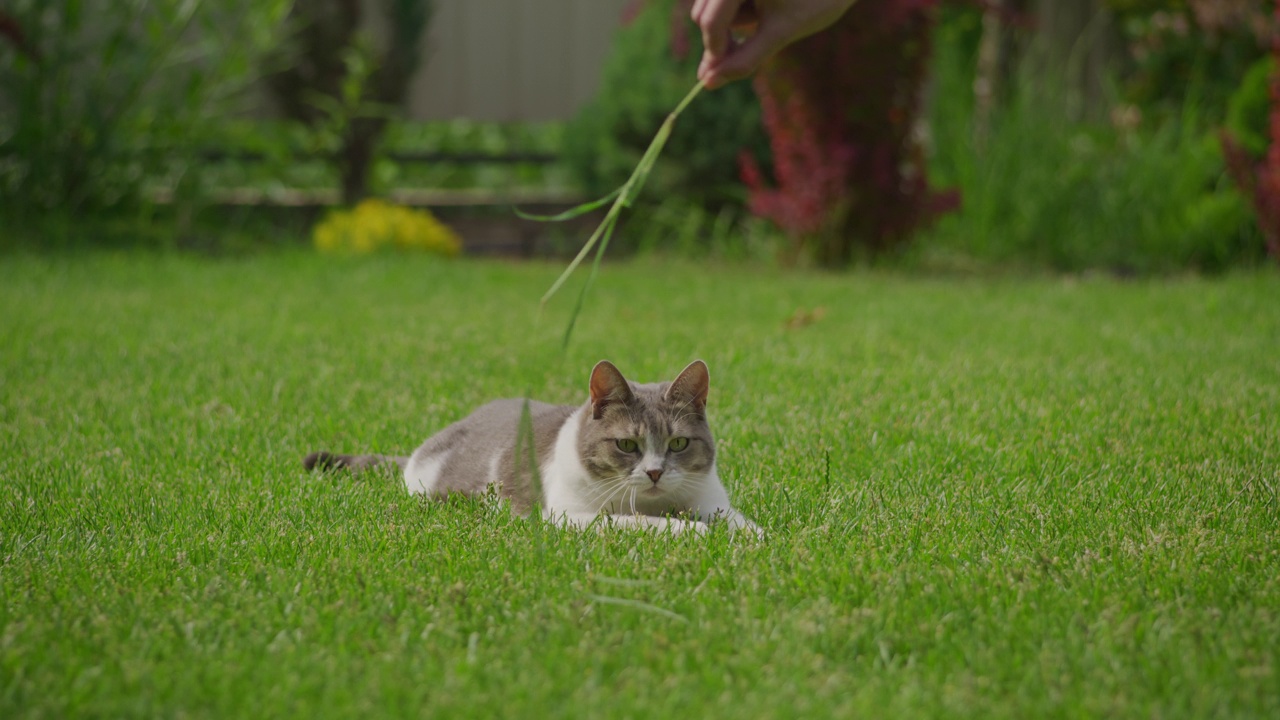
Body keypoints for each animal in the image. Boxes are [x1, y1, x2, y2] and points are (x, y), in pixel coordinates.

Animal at [303, 358, 752, 532]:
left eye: (679, 443)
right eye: (626, 444)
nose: (656, 472)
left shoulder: (712, 502)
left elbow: (738, 522)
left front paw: (749, 538)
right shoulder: (574, 515)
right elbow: (652, 524)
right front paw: (696, 533)